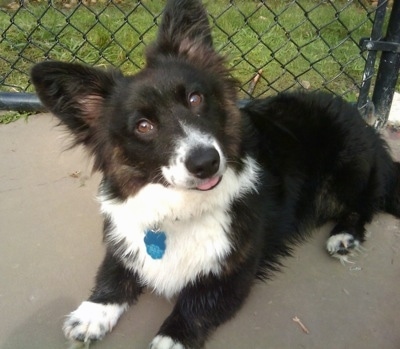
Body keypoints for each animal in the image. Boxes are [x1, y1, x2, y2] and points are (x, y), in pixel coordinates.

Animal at [28, 0, 400, 348]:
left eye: (195, 98)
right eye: (143, 126)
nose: (206, 162)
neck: (180, 210)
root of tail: (362, 119)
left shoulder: (232, 273)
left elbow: (194, 305)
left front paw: (170, 339)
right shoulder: (125, 240)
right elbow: (112, 273)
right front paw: (92, 314)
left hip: (347, 175)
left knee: (366, 204)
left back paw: (344, 236)